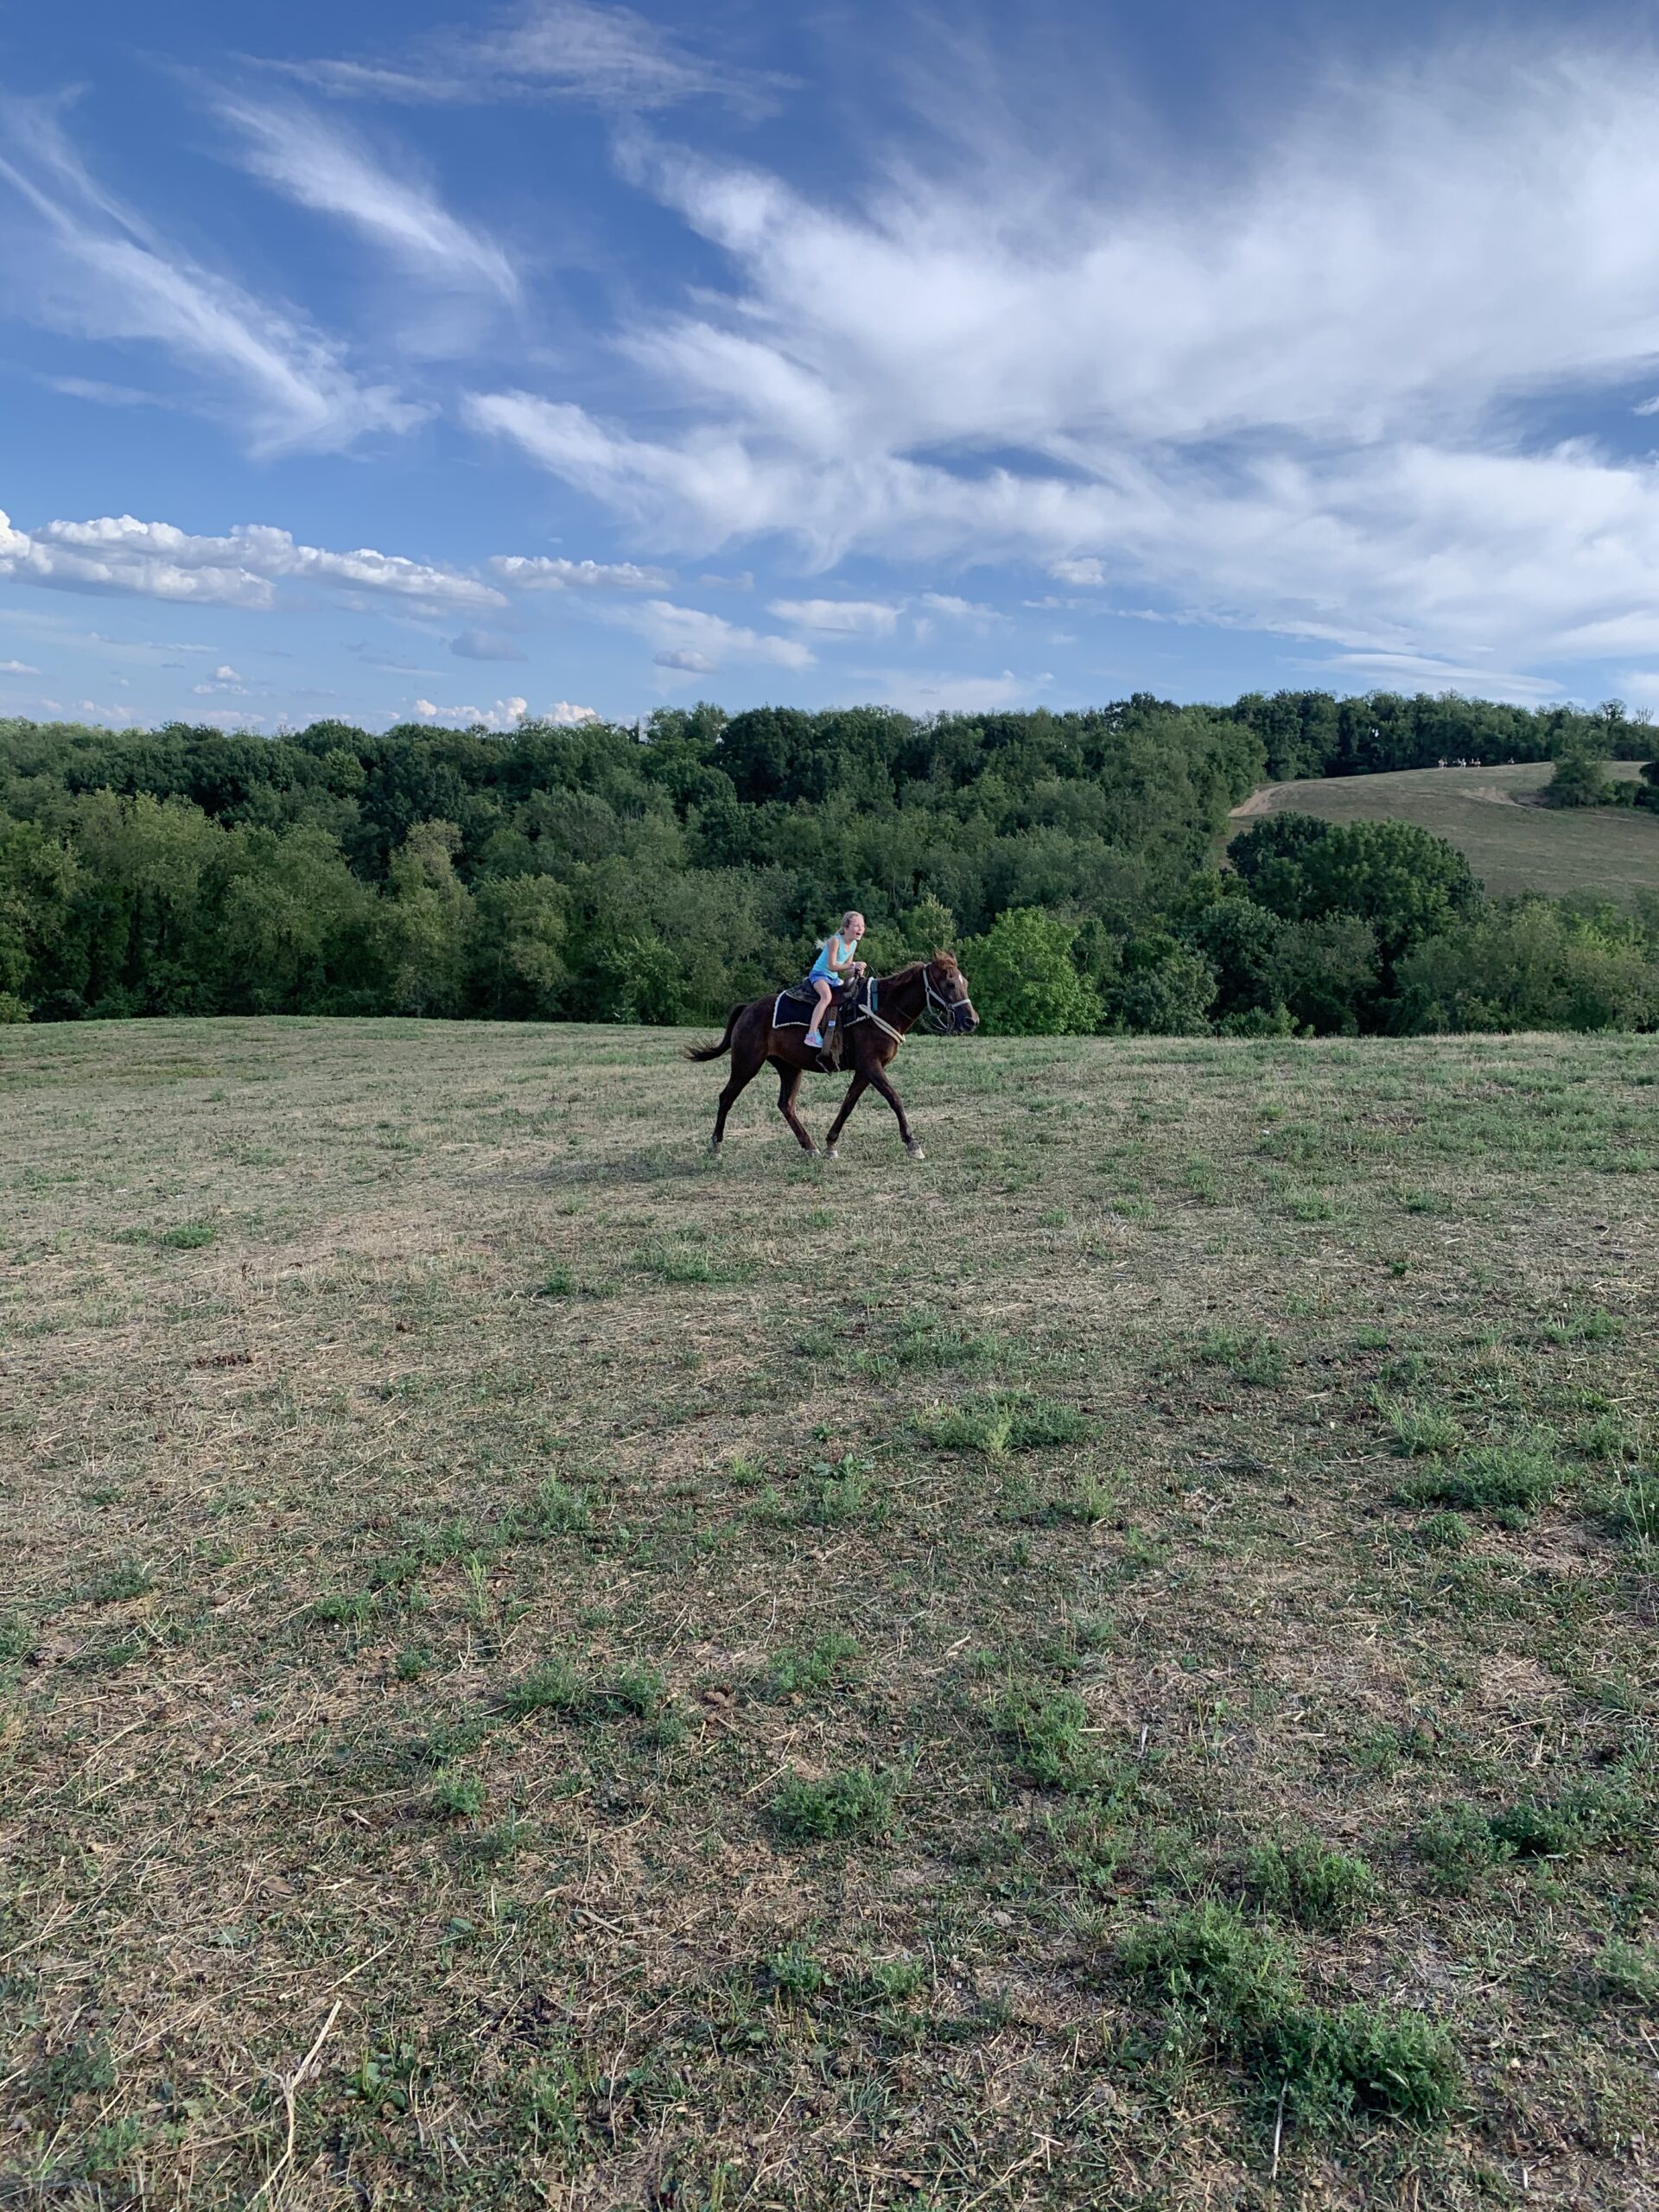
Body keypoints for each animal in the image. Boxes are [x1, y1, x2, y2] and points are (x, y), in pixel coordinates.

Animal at [685, 950, 973, 1159]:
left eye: (964, 982)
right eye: (949, 983)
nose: (971, 1021)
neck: (882, 1007)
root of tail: (747, 1009)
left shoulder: (865, 1070)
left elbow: (848, 1104)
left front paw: (830, 1144)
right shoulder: (872, 1066)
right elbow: (894, 1099)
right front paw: (912, 1144)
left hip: (789, 1068)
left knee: (785, 1105)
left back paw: (809, 1146)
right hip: (746, 1064)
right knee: (726, 1097)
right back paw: (716, 1147)